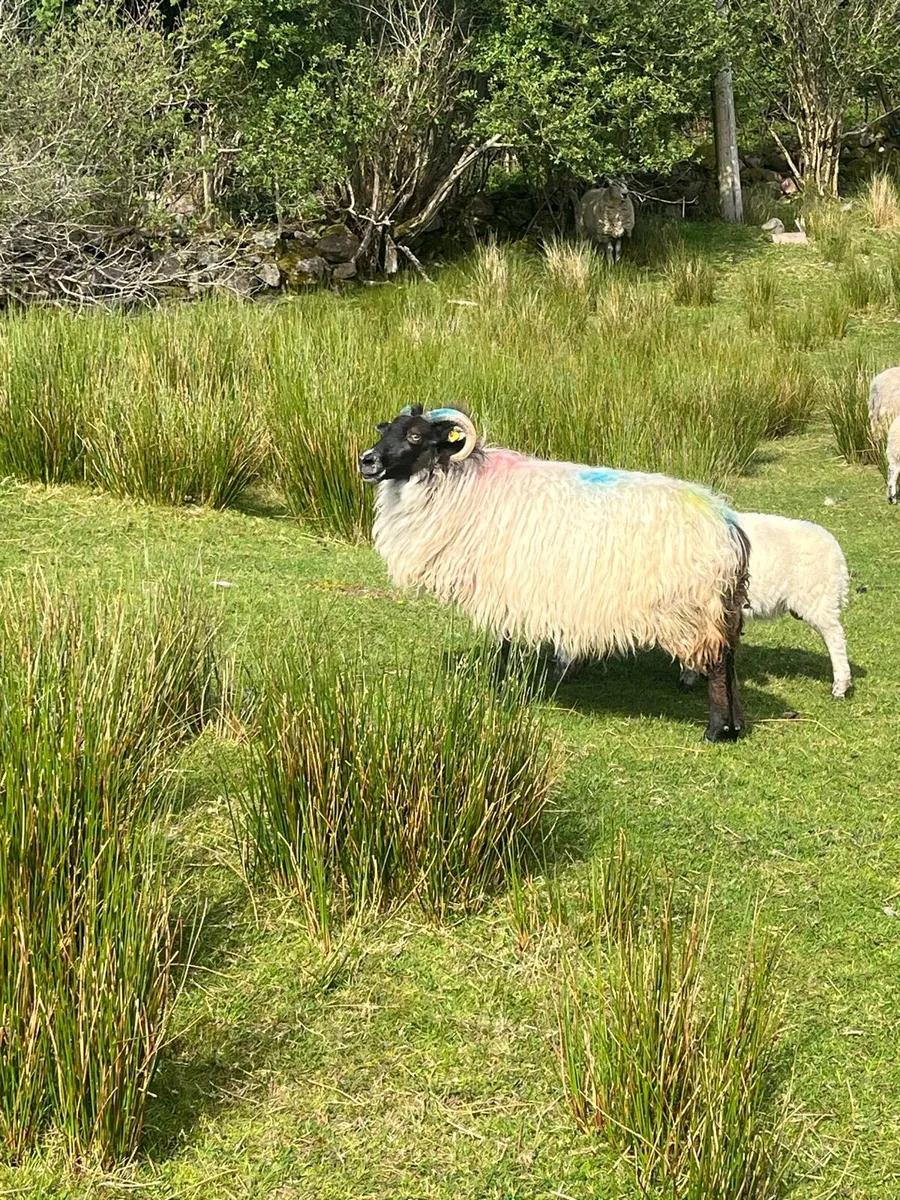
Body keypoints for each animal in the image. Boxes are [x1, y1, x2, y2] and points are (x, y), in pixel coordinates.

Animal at [358, 405, 750, 743]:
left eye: (415, 436)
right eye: (385, 429)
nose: (367, 460)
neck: (462, 485)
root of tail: (727, 524)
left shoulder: (503, 584)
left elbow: (503, 640)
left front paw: (499, 686)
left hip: (692, 609)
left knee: (718, 663)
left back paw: (715, 730)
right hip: (723, 607)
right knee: (731, 661)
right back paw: (735, 727)